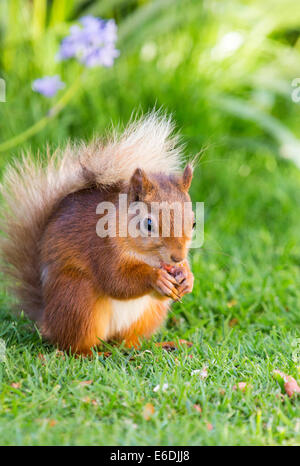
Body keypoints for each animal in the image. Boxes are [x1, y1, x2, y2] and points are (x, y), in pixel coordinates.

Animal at [0, 112, 195, 354]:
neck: (146, 257)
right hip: (77, 299)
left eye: (194, 223)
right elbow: (116, 280)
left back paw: (159, 345)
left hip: (149, 314)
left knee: (128, 342)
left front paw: (187, 278)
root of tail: (46, 320)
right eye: (148, 224)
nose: (177, 257)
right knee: (74, 346)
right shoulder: (101, 249)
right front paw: (156, 278)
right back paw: (97, 353)